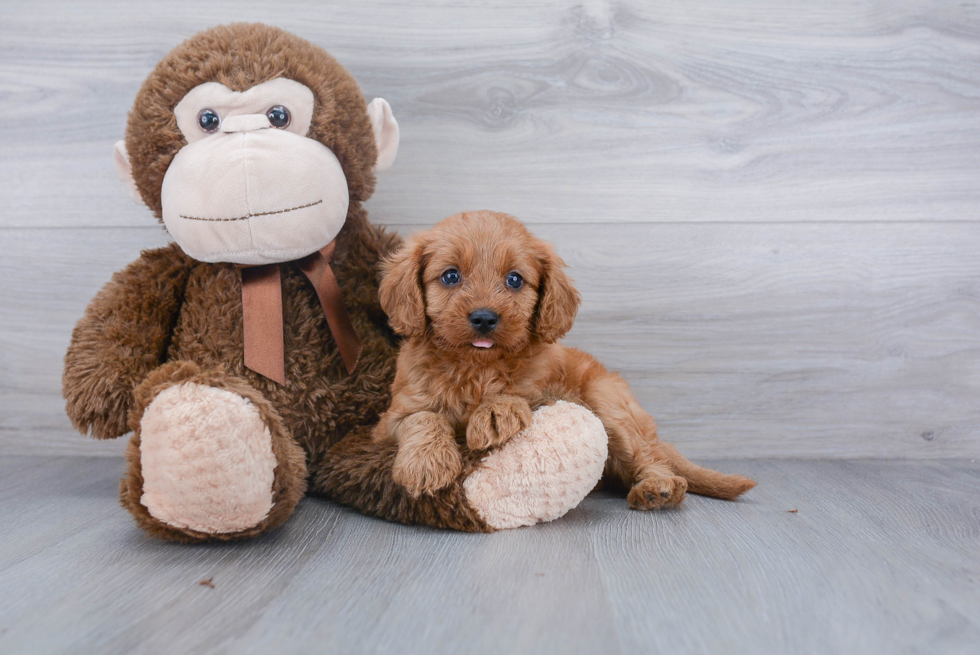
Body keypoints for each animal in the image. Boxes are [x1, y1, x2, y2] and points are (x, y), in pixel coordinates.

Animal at [376, 213, 756, 510]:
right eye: (451, 276)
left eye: (514, 279)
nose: (484, 318)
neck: (476, 366)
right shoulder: (388, 422)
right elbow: (422, 418)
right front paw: (426, 464)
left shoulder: (550, 393)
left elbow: (519, 394)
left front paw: (497, 411)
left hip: (609, 402)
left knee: (651, 458)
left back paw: (656, 488)